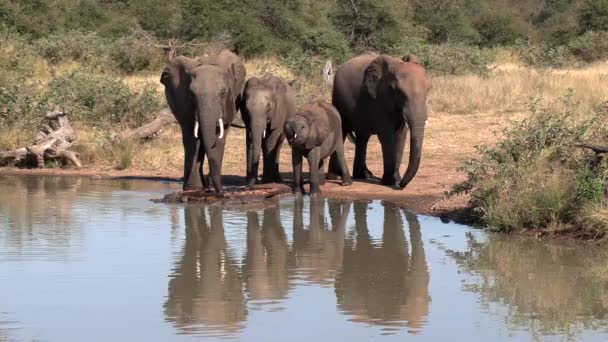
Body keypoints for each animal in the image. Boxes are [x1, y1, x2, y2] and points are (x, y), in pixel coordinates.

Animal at [163, 49, 248, 192]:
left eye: (223, 92)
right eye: (191, 94)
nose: (221, 192)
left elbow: (219, 136)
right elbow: (192, 137)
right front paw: (193, 188)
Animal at [328, 52, 432, 188]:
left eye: (428, 91)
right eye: (400, 92)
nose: (402, 185)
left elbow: (401, 136)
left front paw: (396, 180)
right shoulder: (379, 99)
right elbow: (387, 136)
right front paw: (390, 182)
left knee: (363, 137)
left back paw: (364, 175)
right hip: (338, 98)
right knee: (342, 131)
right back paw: (335, 176)